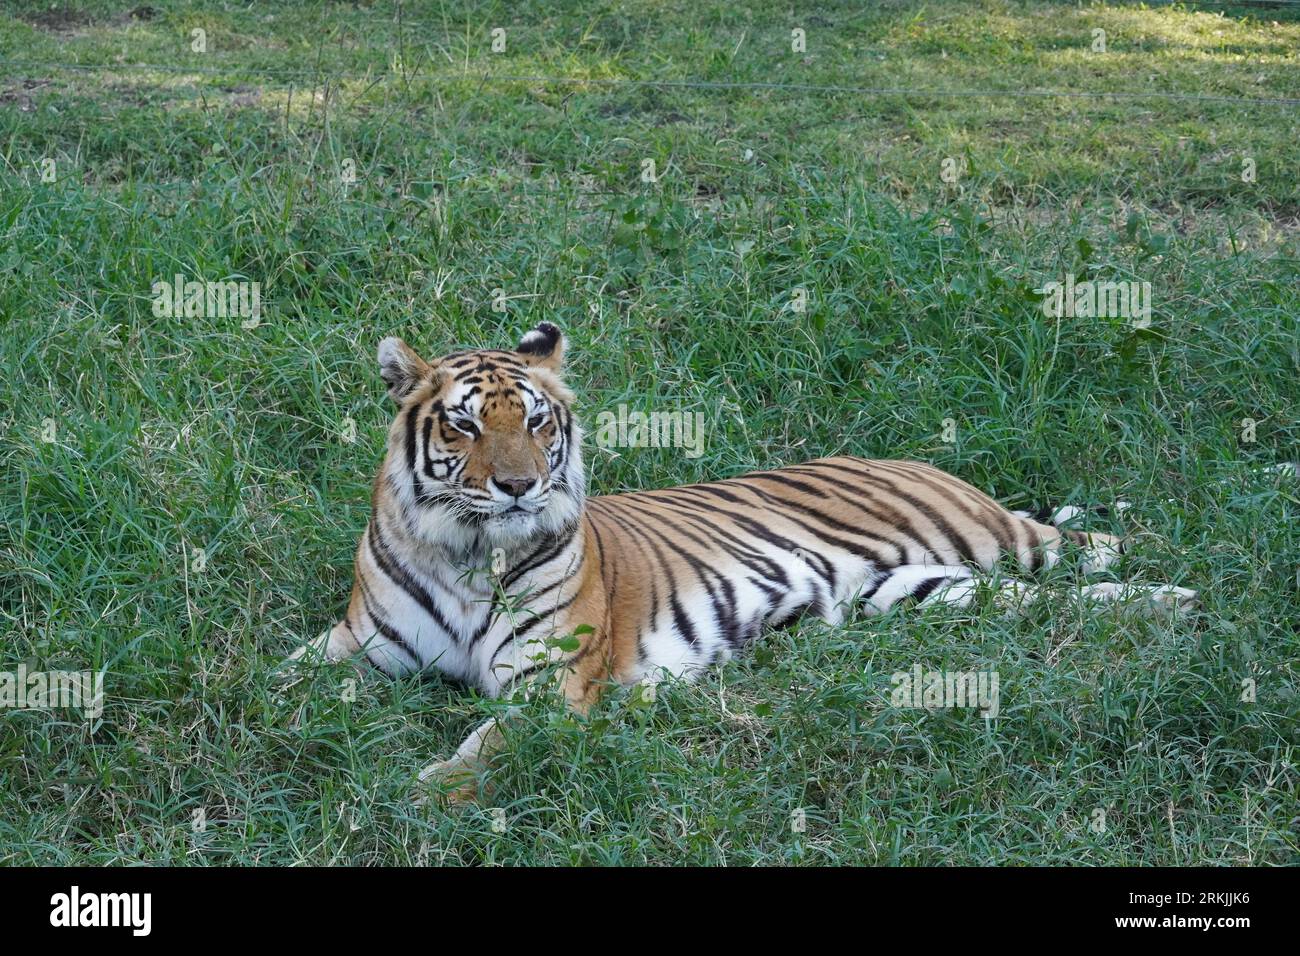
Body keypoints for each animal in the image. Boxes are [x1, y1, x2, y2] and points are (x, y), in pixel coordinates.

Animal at [295, 321, 1196, 801]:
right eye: (465, 425)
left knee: (1092, 545)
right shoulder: (356, 646)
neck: (468, 552)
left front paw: (413, 797)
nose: (518, 487)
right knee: (1048, 599)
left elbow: (483, 750)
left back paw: (1183, 586)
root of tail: (914, 459)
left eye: (539, 421)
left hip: (993, 539)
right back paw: (1162, 605)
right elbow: (284, 680)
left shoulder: (549, 686)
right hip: (928, 591)